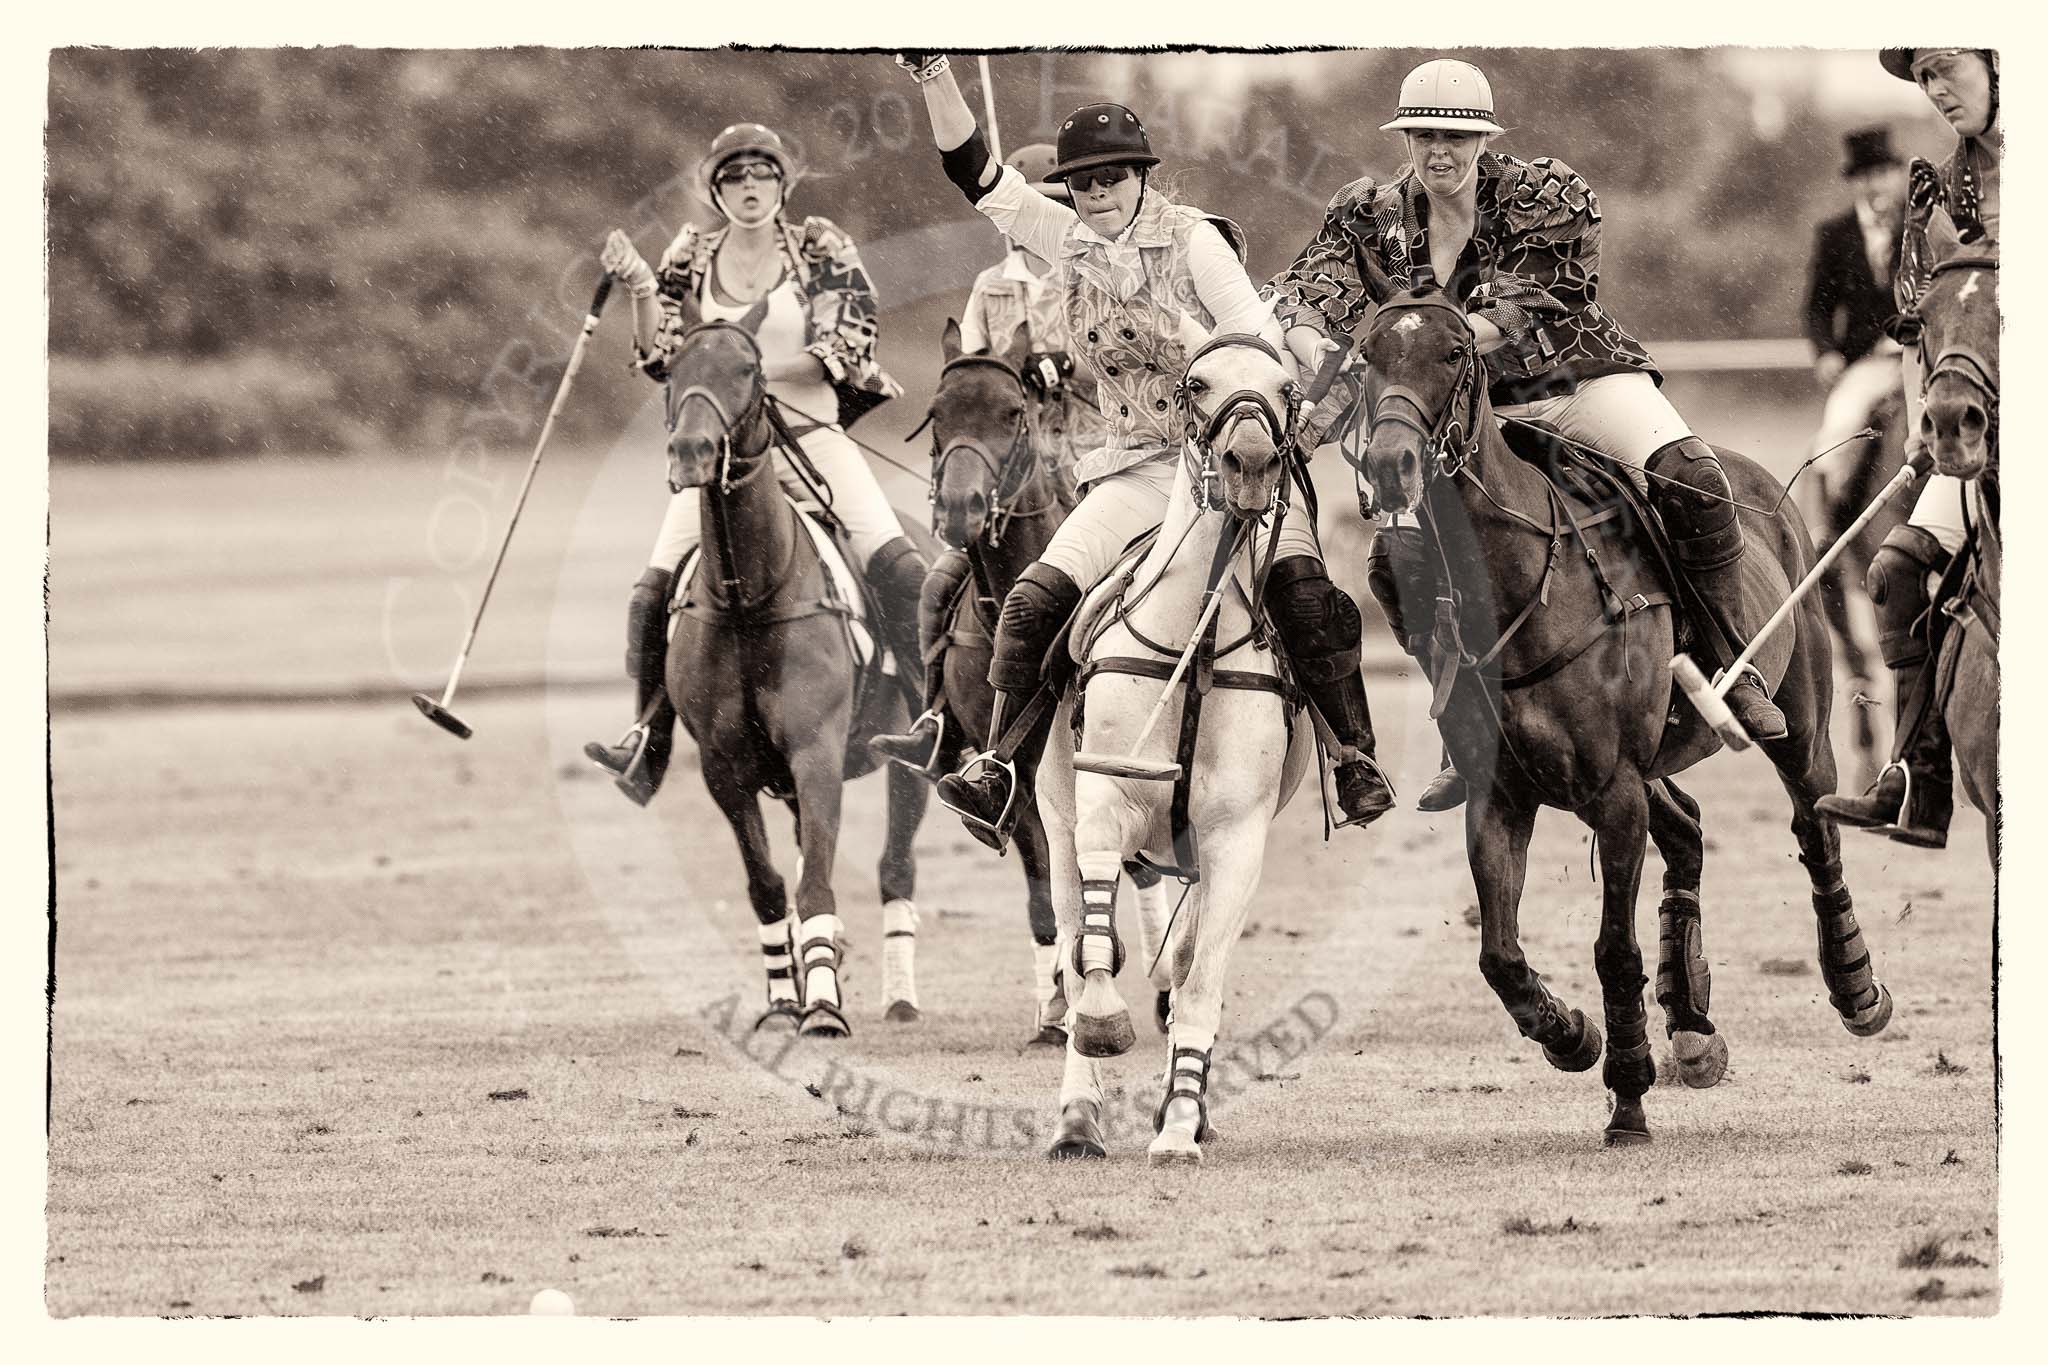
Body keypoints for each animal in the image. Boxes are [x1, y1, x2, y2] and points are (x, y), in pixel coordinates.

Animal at [663, 290, 937, 1035]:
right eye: (672, 368)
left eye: (748, 371)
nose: (692, 451)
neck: (748, 598)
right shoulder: (723, 769)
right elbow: (767, 884)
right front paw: (785, 998)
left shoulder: (817, 753)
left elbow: (816, 880)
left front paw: (822, 1005)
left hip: (909, 761)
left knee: (896, 866)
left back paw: (903, 996)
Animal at [1351, 282, 1892, 1146]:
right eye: (1367, 354)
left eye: (1453, 351)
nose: (1390, 466)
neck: (1519, 583)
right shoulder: (1502, 793)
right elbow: (1498, 952)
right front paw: (1573, 1035)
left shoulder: (1613, 791)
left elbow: (1612, 946)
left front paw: (1628, 1096)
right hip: (1647, 766)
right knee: (1691, 828)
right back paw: (1691, 1023)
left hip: (1799, 716)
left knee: (1816, 825)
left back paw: (1854, 987)